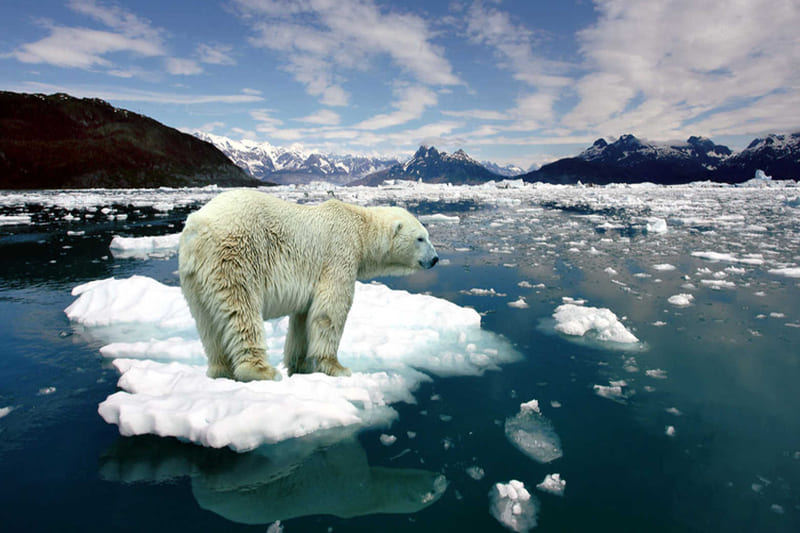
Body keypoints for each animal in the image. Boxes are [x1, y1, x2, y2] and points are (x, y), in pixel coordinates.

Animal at [177, 189, 438, 380]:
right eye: (420, 238)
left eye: (427, 235)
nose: (435, 259)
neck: (360, 228)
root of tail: (197, 228)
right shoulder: (339, 255)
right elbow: (330, 310)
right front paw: (337, 367)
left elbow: (303, 319)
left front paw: (300, 365)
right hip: (235, 257)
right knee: (242, 311)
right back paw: (261, 371)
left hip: (194, 278)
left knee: (207, 323)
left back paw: (220, 370)